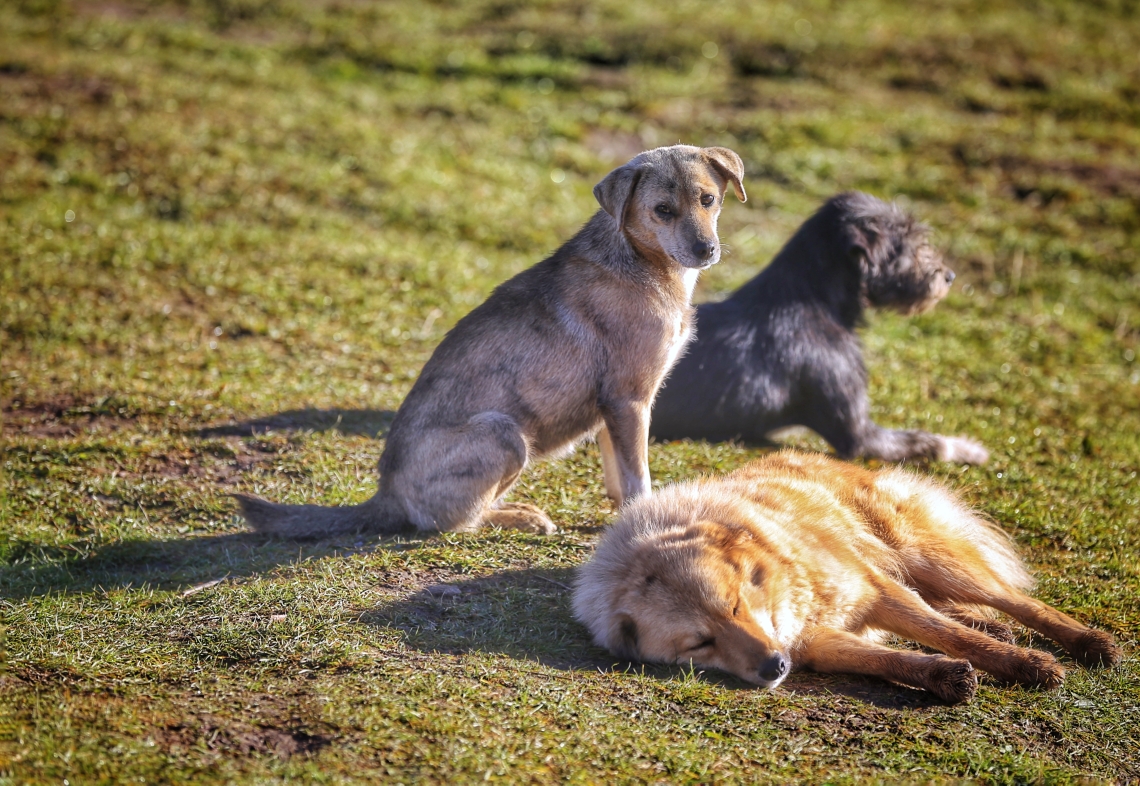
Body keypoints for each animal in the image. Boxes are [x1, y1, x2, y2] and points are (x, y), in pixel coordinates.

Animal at [235, 144, 743, 536]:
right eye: (662, 210)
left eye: (708, 199)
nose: (706, 251)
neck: (641, 259)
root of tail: (385, 495)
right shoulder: (630, 401)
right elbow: (638, 476)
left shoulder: (613, 410)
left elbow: (619, 479)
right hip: (504, 434)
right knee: (452, 522)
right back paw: (522, 517)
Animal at [579, 451, 1121, 702]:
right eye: (700, 643)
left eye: (734, 606)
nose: (773, 667)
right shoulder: (816, 643)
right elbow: (884, 660)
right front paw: (941, 676)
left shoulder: (875, 591)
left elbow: (952, 637)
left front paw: (1027, 666)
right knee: (957, 608)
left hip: (931, 560)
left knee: (1017, 603)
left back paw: (1087, 642)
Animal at [652, 190, 989, 463]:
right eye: (907, 245)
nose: (948, 276)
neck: (812, 300)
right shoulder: (860, 435)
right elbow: (927, 440)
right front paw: (968, 449)